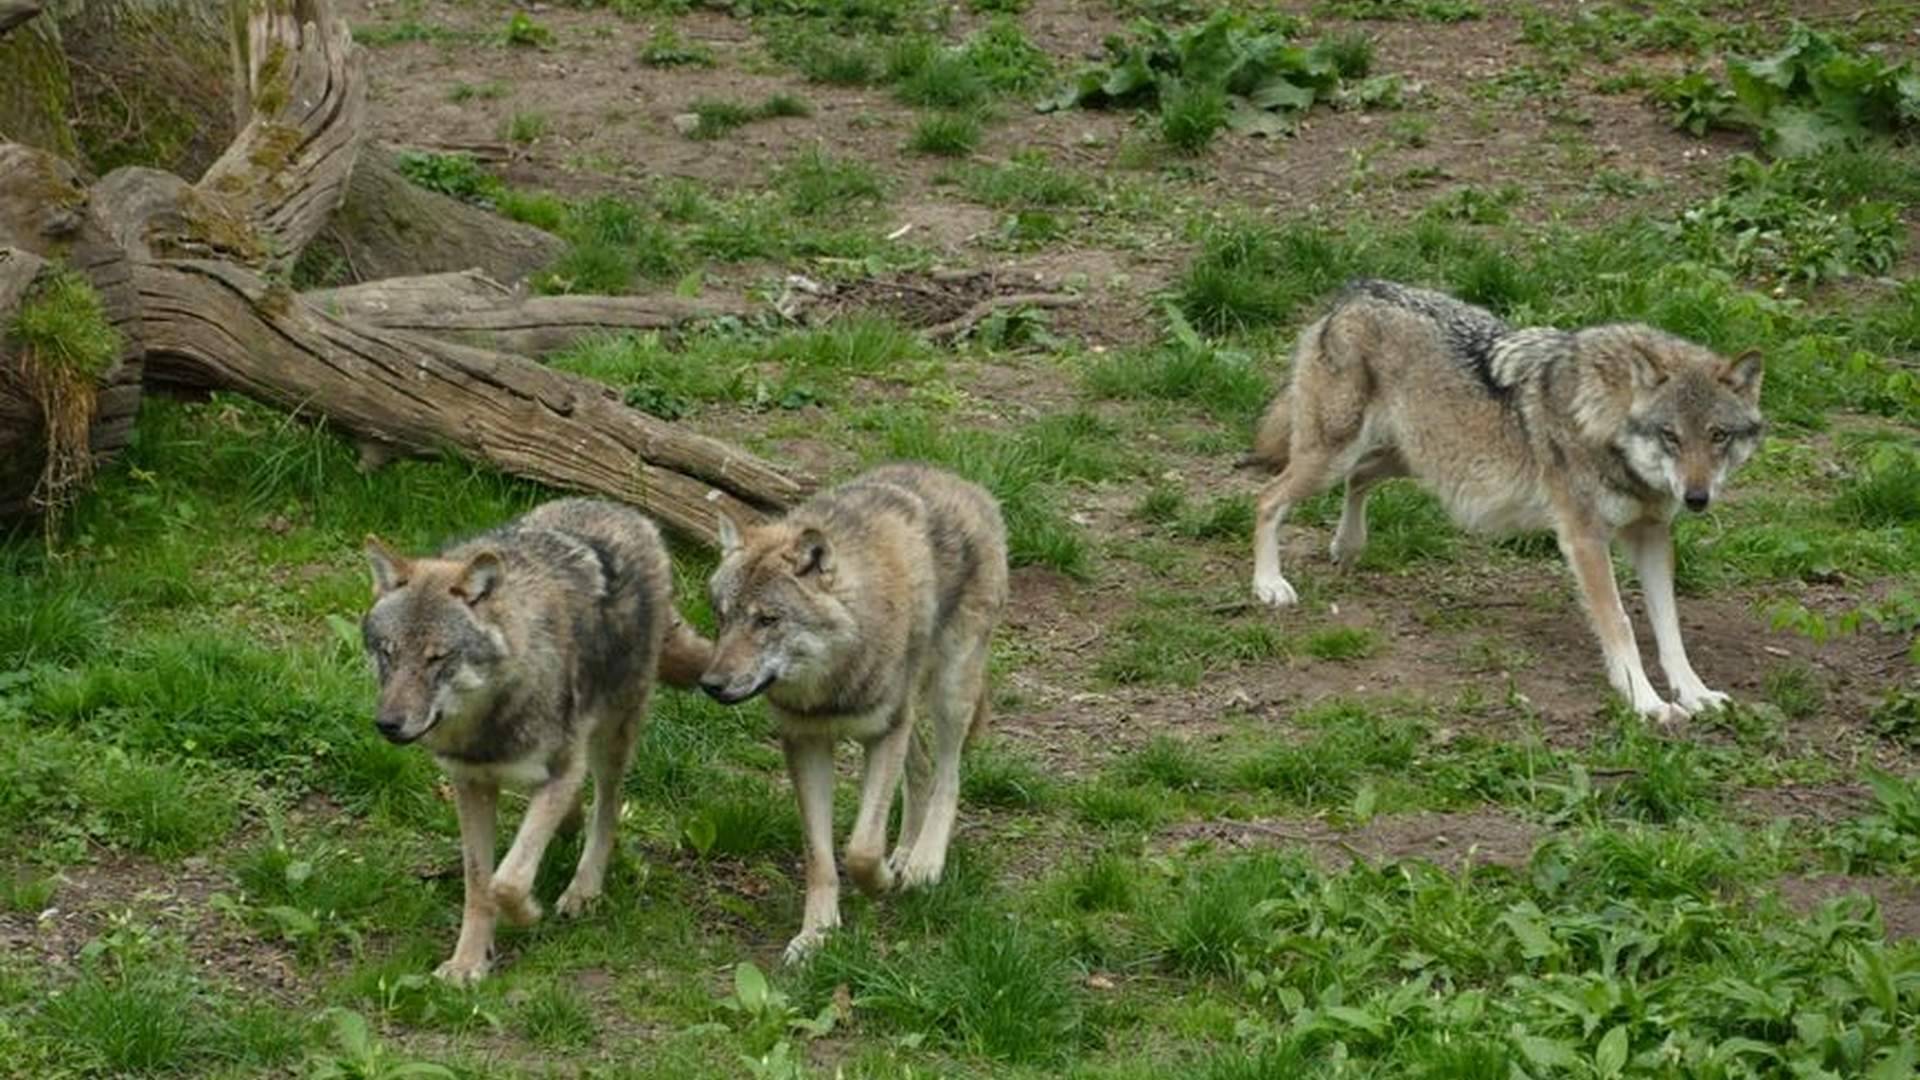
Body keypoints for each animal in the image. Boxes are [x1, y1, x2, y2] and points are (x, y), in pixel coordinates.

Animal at [361, 499, 711, 984]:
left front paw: (528, 913)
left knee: (606, 809)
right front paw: (468, 963)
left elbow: (506, 881)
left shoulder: (560, 768)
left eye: (437, 658)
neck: (488, 722)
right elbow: (479, 883)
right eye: (388, 653)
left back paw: (584, 889)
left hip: (612, 737)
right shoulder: (471, 784)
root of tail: (629, 513)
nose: (387, 724)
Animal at [699, 464, 1008, 962]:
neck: (829, 686)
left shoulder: (884, 733)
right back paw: (904, 851)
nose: (710, 684)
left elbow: (861, 848)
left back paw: (923, 863)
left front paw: (880, 881)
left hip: (949, 693)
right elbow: (821, 857)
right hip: (908, 713)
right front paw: (817, 935)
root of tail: (964, 483)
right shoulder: (806, 743)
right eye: (722, 617)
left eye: (767, 620)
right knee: (922, 769)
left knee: (949, 776)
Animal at [1245, 280, 1764, 723]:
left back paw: (1348, 546)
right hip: (1333, 459)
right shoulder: (1584, 539)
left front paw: (1694, 692)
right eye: (1670, 436)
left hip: (1413, 459)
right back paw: (1269, 585)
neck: (1605, 422)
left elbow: (1669, 627)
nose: (1696, 497)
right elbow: (1620, 623)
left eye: (1718, 436)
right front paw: (1647, 702)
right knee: (1267, 498)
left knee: (1359, 479)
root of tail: (1353, 293)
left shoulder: (1652, 534)